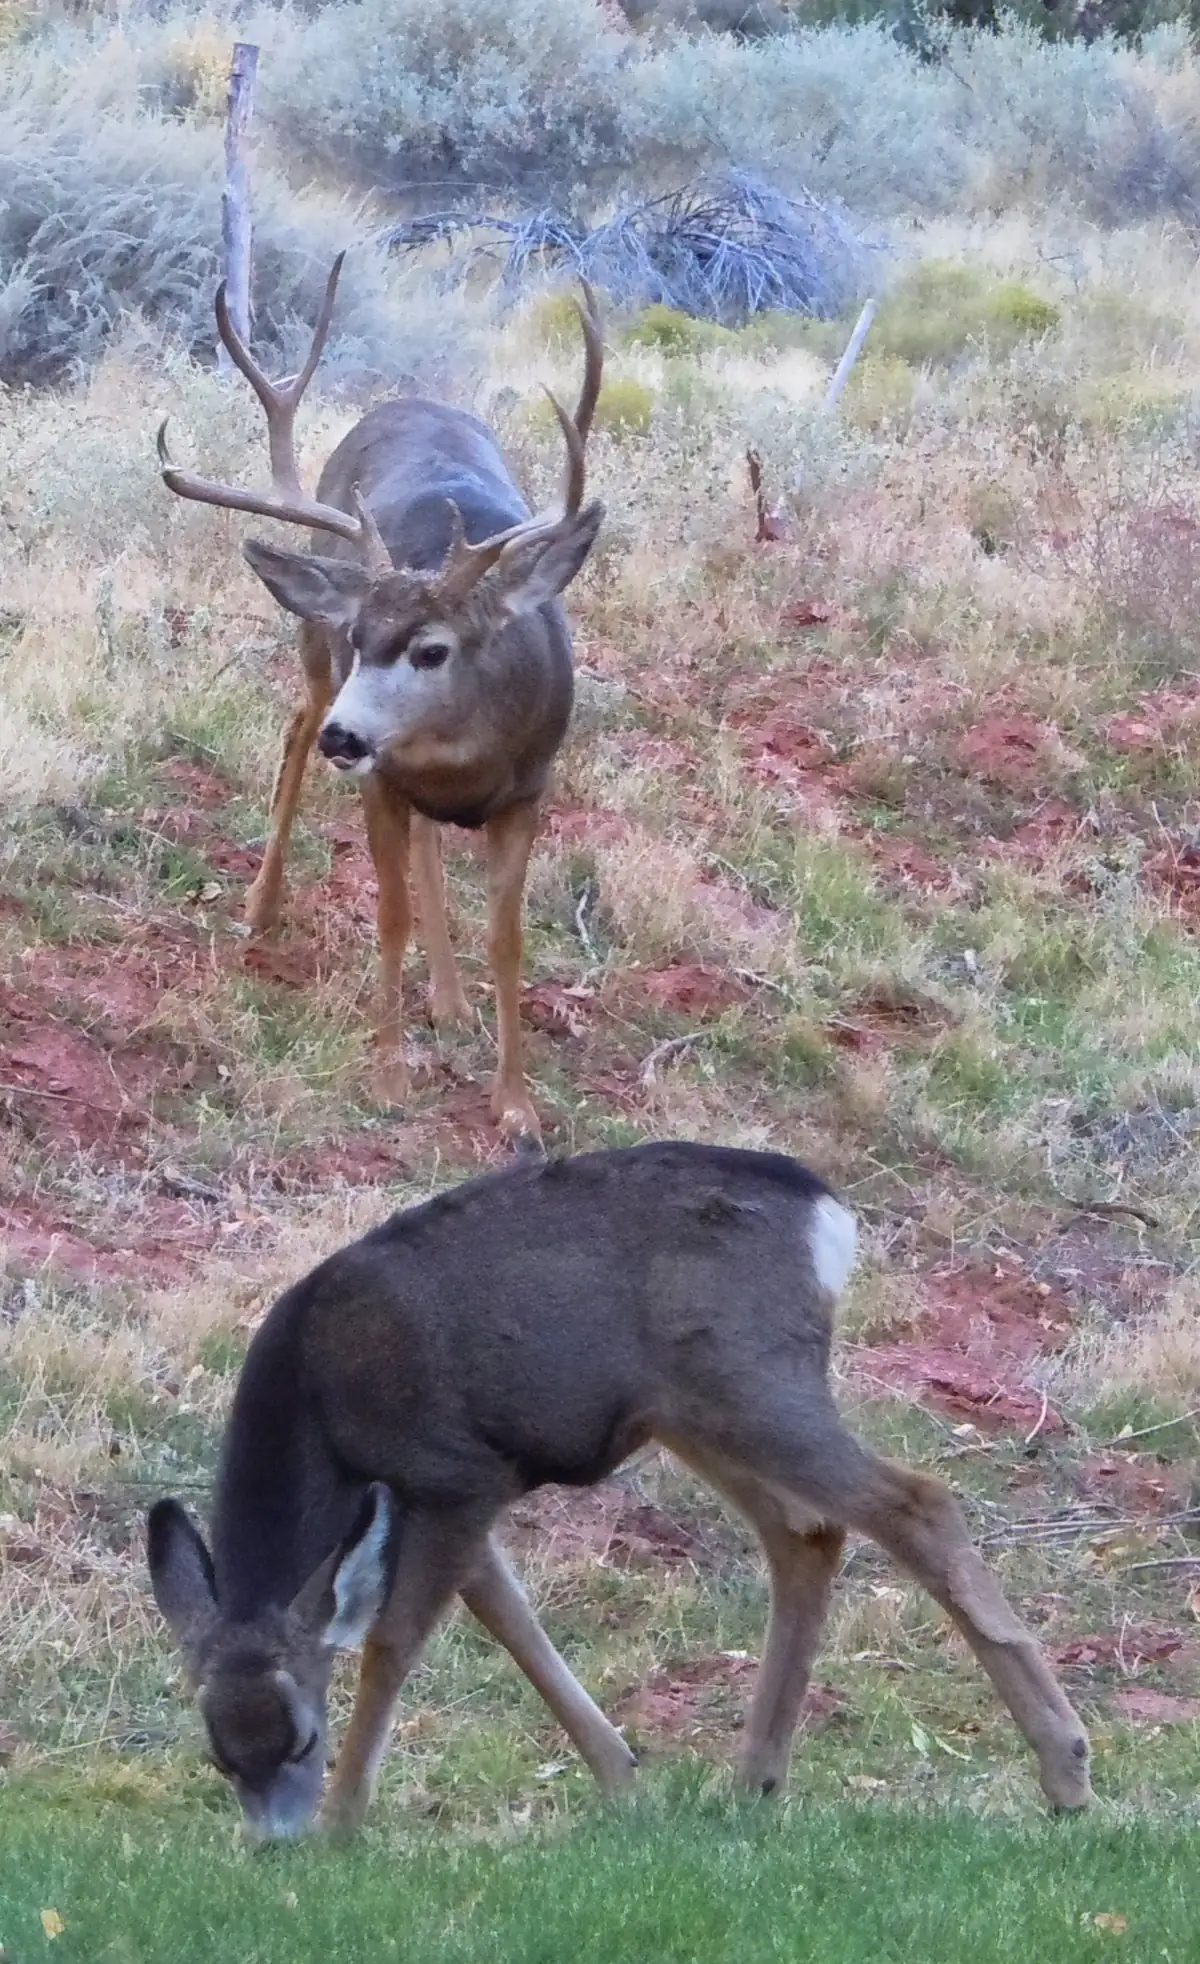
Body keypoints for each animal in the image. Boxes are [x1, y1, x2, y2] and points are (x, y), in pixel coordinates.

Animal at [147, 1141, 1092, 1846]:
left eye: (302, 1736)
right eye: (218, 1755)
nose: (273, 1846)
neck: (319, 1412)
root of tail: (829, 1215)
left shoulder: (453, 1471)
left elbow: (393, 1642)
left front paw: (343, 1826)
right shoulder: (454, 1491)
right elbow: (512, 1620)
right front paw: (623, 1779)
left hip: (751, 1381)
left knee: (917, 1501)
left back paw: (1067, 1772)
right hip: (693, 1410)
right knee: (808, 1533)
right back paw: (754, 1781)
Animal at [156, 255, 605, 1146]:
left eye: (433, 650)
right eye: (360, 636)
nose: (348, 737)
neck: (461, 757)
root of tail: (408, 400)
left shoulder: (528, 792)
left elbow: (507, 939)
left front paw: (516, 1105)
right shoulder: (379, 779)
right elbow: (390, 911)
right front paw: (392, 1077)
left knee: (426, 839)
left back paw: (451, 1000)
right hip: (311, 661)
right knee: (294, 729)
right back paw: (264, 905)